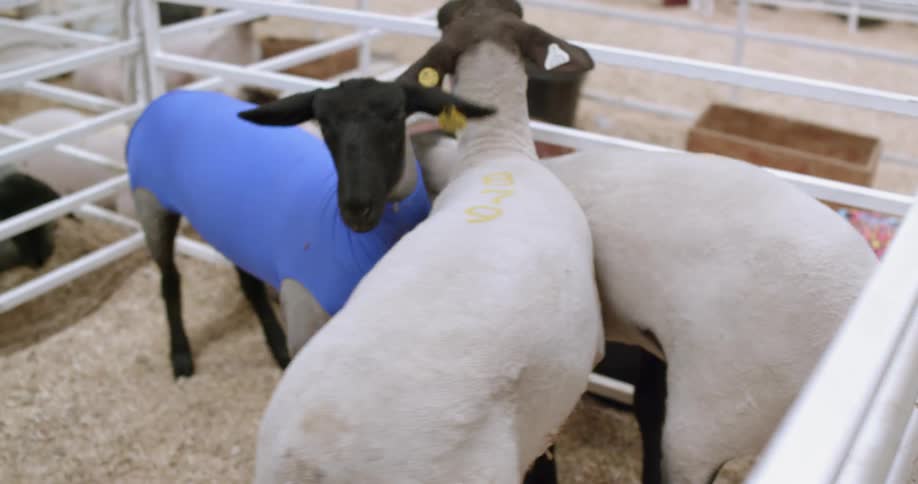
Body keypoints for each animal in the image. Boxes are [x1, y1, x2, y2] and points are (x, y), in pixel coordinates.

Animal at [127, 84, 492, 378]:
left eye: (396, 115)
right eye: (324, 123)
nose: (356, 207)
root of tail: (165, 99)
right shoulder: (304, 308)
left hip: (230, 226)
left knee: (248, 283)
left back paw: (275, 345)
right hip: (149, 203)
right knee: (170, 279)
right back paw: (181, 356)